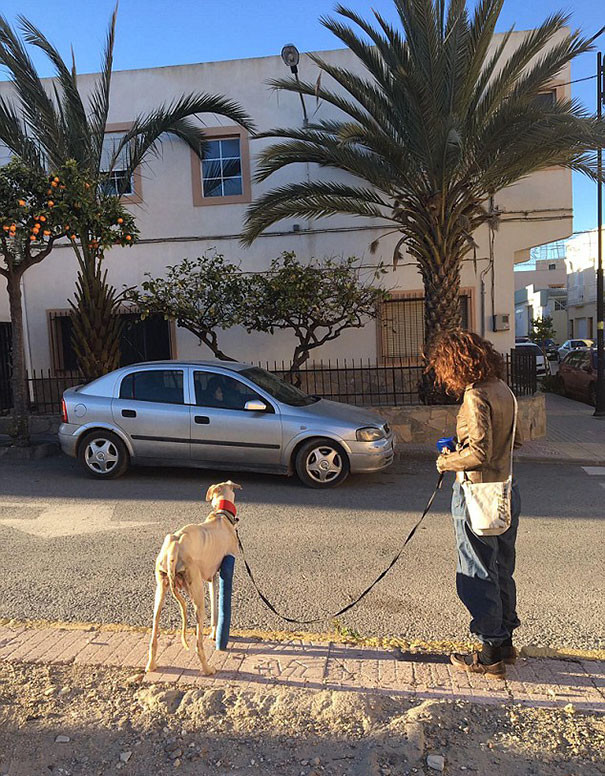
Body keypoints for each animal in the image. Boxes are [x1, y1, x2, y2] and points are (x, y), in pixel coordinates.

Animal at [145, 478, 242, 672]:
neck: (221, 515)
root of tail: (174, 546)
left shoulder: (211, 578)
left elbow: (214, 608)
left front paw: (214, 633)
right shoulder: (219, 573)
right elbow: (216, 608)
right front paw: (215, 634)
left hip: (160, 591)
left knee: (154, 631)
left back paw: (151, 665)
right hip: (196, 593)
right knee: (198, 644)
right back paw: (207, 669)